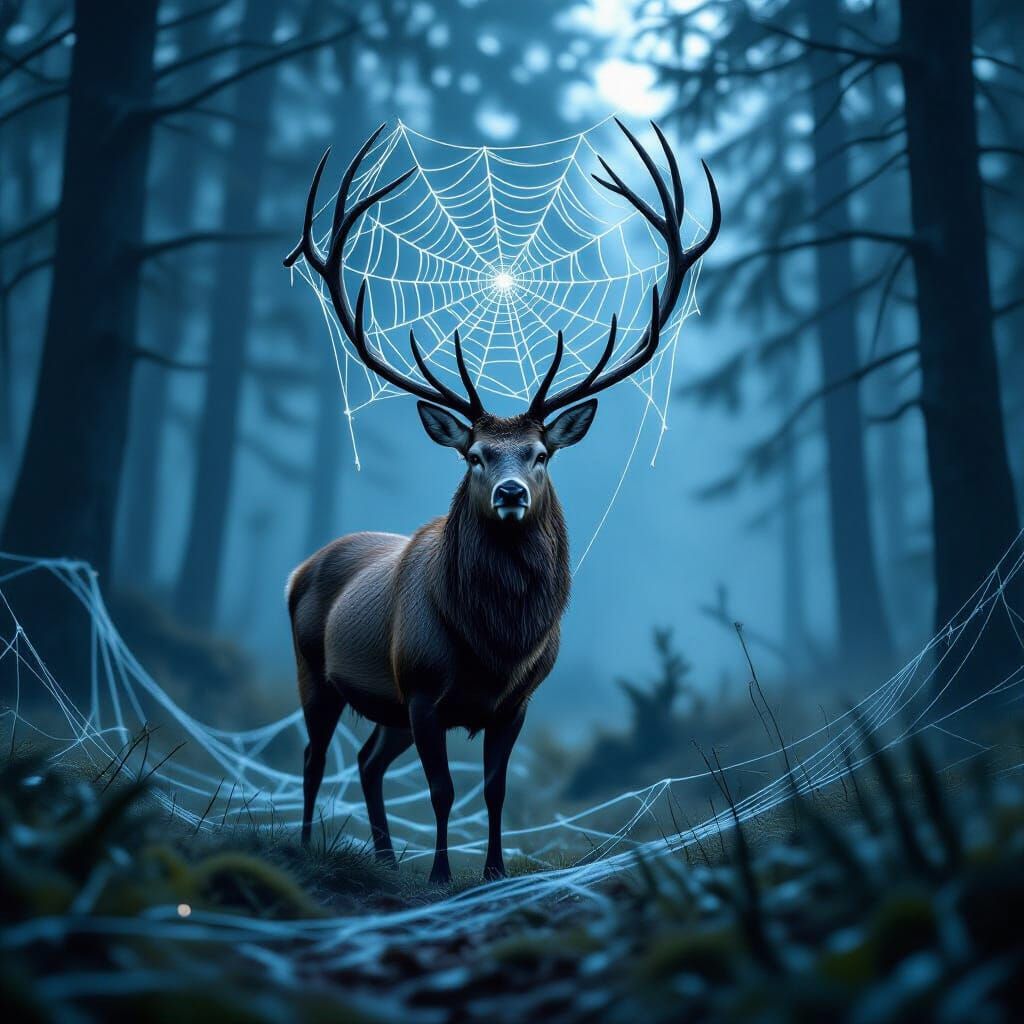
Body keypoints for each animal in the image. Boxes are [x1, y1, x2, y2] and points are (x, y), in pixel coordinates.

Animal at [284, 120, 720, 884]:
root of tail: (300, 568)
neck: (495, 645)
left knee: (365, 762)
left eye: (541, 455)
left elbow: (495, 790)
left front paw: (490, 873)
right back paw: (311, 844)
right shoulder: (423, 688)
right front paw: (440, 875)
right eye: (476, 455)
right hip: (317, 670)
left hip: (383, 707)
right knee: (314, 757)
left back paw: (383, 856)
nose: (512, 492)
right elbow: (442, 789)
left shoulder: (514, 702)